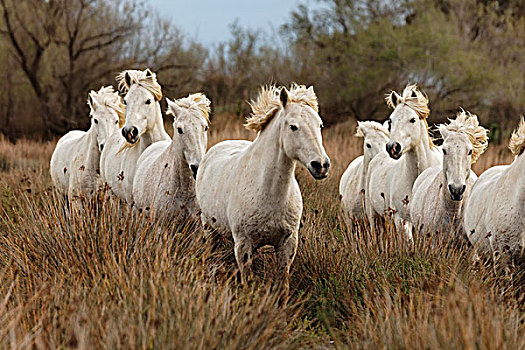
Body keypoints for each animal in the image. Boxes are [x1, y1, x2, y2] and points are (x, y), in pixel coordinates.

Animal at [194, 84, 330, 290]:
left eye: (320, 125)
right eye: (293, 127)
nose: (321, 165)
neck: (268, 192)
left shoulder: (287, 244)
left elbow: (283, 282)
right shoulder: (243, 245)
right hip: (209, 229)